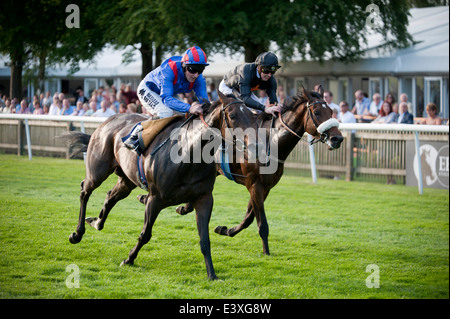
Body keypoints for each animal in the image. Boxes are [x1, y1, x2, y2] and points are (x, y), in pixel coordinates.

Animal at [65, 94, 258, 280]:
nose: (253, 145)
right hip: (97, 170)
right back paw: (77, 233)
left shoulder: (203, 199)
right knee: (85, 191)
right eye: (232, 116)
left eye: (251, 115)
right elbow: (145, 234)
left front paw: (212, 274)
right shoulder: (156, 198)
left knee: (110, 196)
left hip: (127, 180)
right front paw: (128, 259)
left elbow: (205, 240)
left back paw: (96, 222)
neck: (188, 154)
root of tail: (107, 120)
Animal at [177, 85, 344, 255]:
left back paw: (185, 207)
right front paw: (266, 252)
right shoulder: (254, 184)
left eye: (331, 111)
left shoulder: (265, 187)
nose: (337, 139)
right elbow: (261, 222)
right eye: (317, 112)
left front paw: (225, 230)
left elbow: (249, 217)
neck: (272, 142)